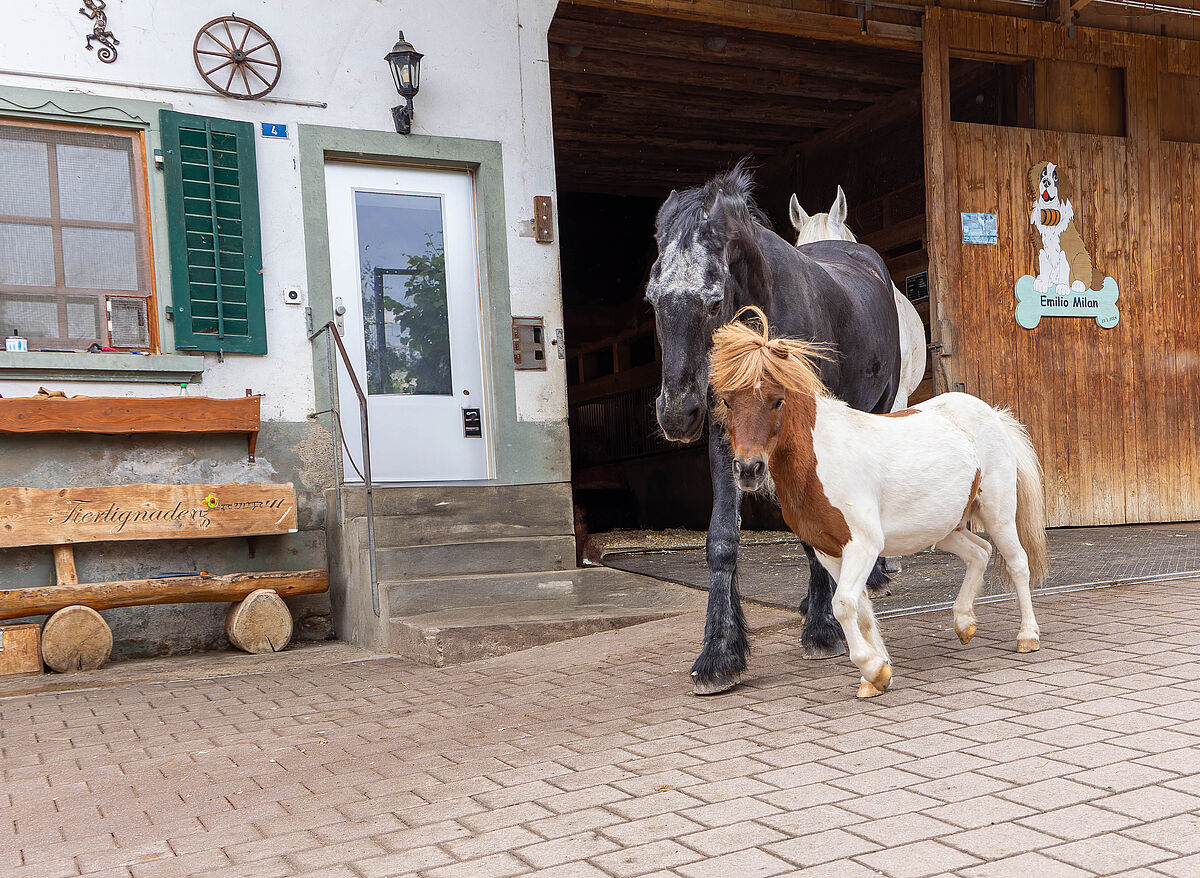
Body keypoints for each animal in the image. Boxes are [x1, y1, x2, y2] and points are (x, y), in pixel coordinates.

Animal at [648, 164, 902, 695]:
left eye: (713, 302)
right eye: (653, 299)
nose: (678, 414)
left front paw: (823, 631)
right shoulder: (727, 436)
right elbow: (722, 539)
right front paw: (719, 654)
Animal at [705, 309, 1046, 700]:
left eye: (777, 400)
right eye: (728, 401)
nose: (748, 469)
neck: (820, 458)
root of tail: (994, 414)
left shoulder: (863, 545)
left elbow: (843, 604)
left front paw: (872, 669)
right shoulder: (829, 550)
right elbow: (861, 610)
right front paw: (877, 675)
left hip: (998, 514)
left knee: (1017, 562)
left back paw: (1027, 636)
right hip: (944, 527)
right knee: (980, 552)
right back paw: (964, 624)